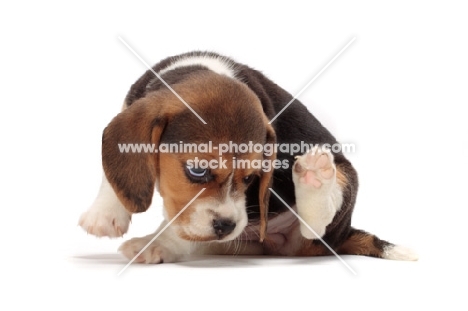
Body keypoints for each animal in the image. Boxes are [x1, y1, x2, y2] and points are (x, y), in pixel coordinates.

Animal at [78, 51, 418, 264]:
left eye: (252, 178)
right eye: (198, 171)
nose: (227, 225)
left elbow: (181, 225)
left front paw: (160, 241)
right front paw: (104, 214)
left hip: (342, 183)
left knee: (314, 229)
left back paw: (315, 178)